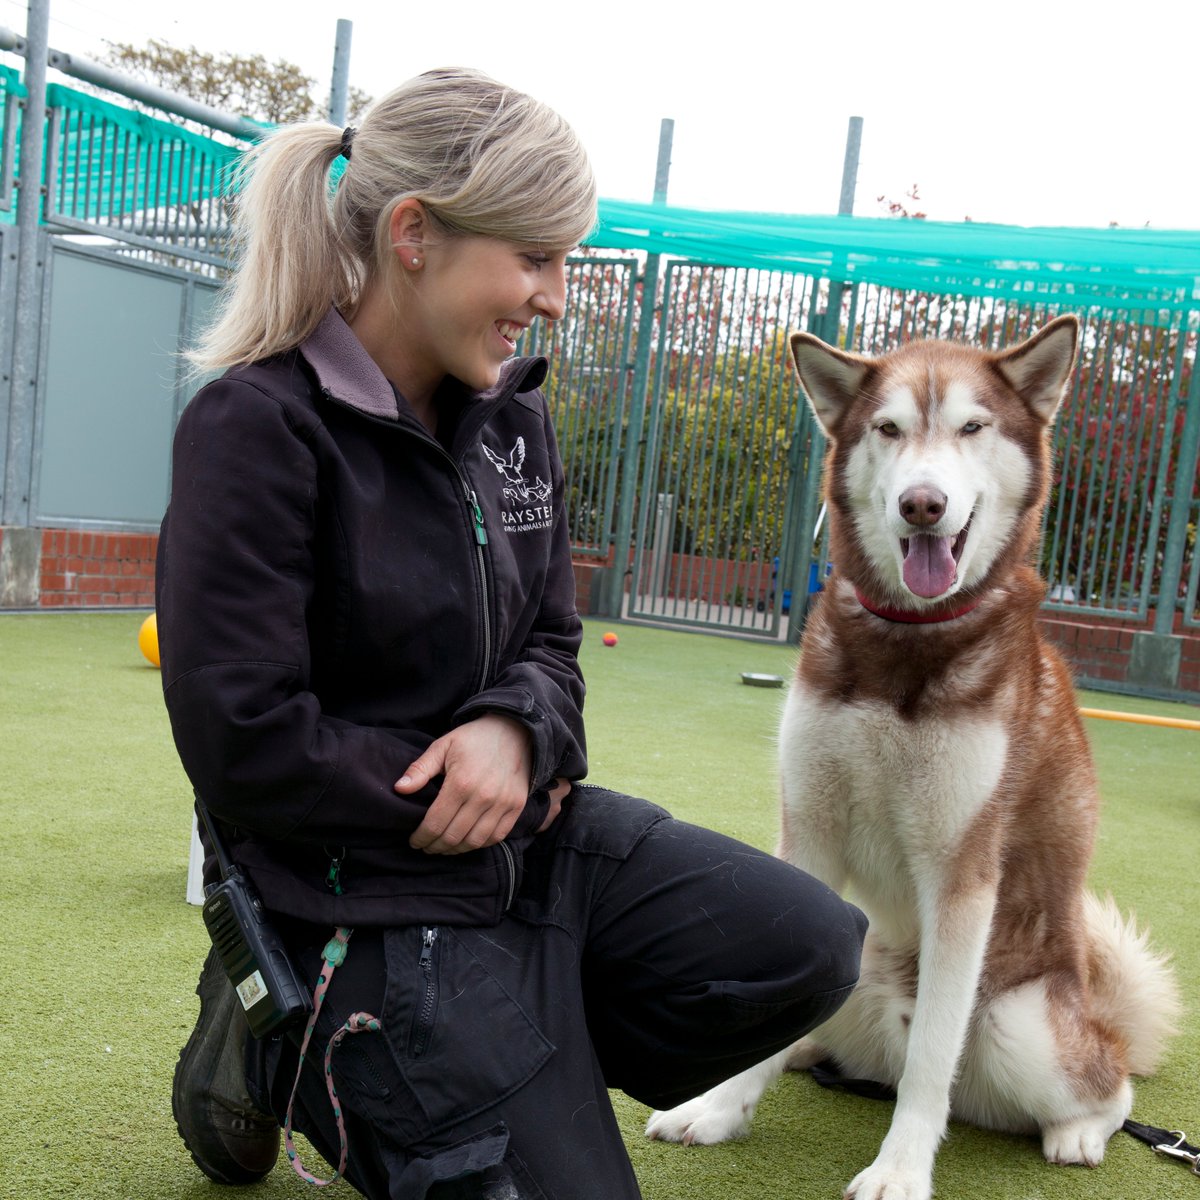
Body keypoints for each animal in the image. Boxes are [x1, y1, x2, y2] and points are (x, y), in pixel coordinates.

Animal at [646, 316, 1179, 1200]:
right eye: (888, 429)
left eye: (972, 427)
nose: (921, 503)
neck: (904, 642)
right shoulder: (813, 830)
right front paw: (720, 1109)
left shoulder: (961, 871)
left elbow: (935, 1051)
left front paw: (900, 1169)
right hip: (861, 956)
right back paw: (805, 1058)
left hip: (1018, 1026)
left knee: (1107, 1084)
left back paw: (1078, 1131)